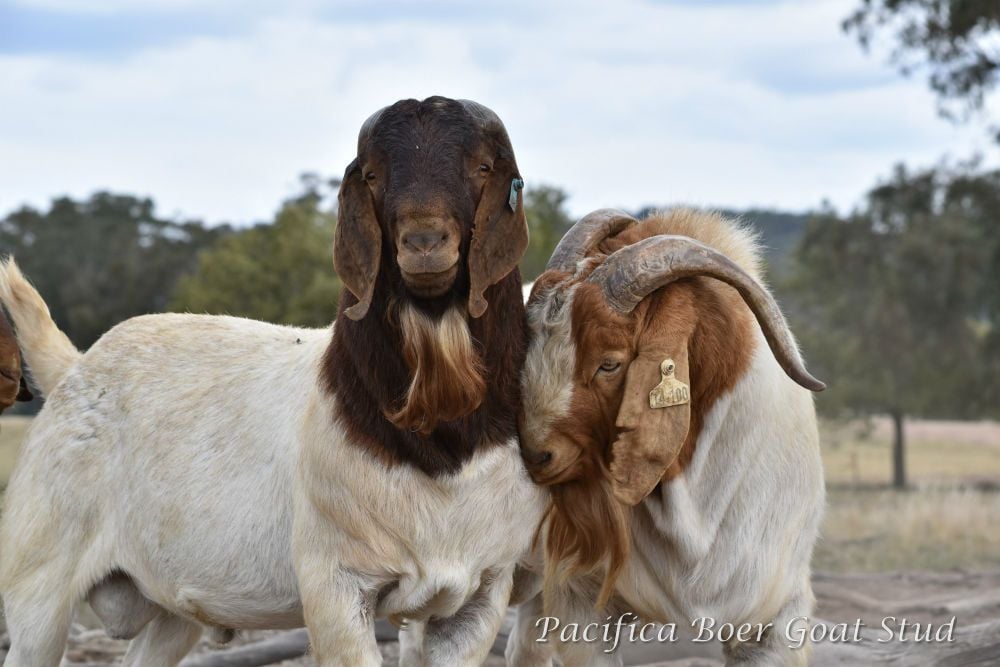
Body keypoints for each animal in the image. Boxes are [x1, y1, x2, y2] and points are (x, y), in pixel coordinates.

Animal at [0, 96, 546, 667]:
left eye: (481, 167)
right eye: (373, 174)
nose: (423, 242)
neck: (438, 445)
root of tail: (73, 368)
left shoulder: (480, 597)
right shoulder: (336, 588)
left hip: (171, 613)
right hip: (39, 589)